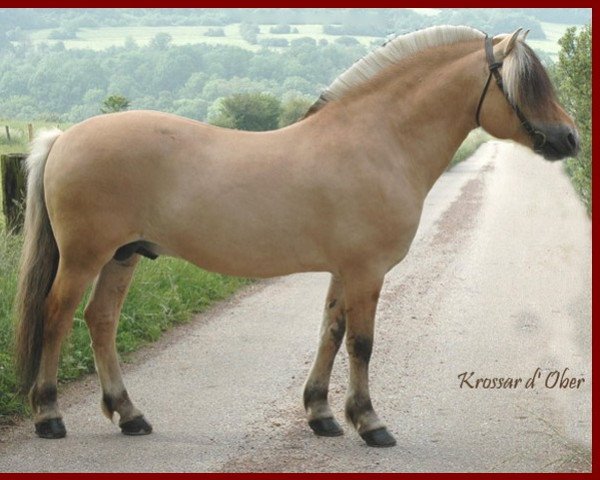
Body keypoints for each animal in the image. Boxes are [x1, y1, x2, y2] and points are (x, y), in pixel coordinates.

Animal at [12, 25, 576, 446]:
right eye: (526, 84)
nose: (569, 138)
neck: (378, 141)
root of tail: (64, 136)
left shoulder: (344, 271)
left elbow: (330, 333)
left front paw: (321, 415)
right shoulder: (367, 272)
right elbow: (362, 343)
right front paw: (370, 423)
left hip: (123, 256)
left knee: (100, 320)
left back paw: (130, 415)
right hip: (85, 257)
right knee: (57, 316)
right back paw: (49, 416)